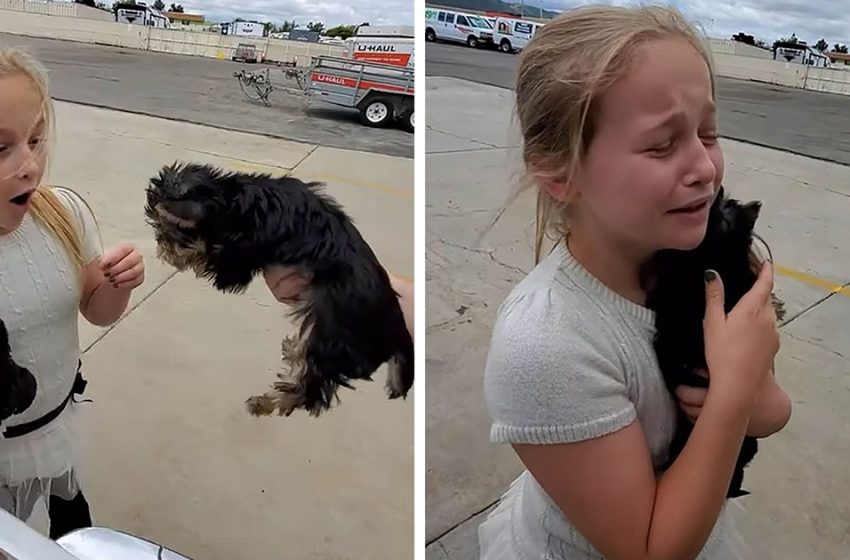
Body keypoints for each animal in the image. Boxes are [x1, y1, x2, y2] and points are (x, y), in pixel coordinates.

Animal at [143, 162, 414, 416]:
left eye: (169, 228)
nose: (161, 246)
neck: (234, 200)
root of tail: (398, 329)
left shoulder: (241, 254)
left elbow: (216, 257)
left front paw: (190, 254)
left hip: (331, 335)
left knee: (310, 390)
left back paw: (267, 401)